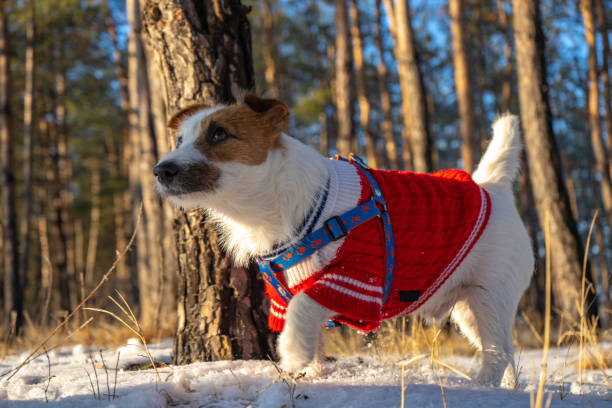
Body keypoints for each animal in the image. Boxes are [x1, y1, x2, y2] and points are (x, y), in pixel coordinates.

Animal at [155, 93, 532, 388]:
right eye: (180, 140)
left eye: (219, 133)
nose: (161, 171)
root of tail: (492, 188)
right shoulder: (285, 290)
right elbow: (308, 326)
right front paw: (313, 371)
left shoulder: (356, 278)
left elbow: (304, 306)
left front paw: (292, 352)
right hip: (469, 311)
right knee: (504, 351)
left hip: (489, 298)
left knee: (497, 352)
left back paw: (482, 388)